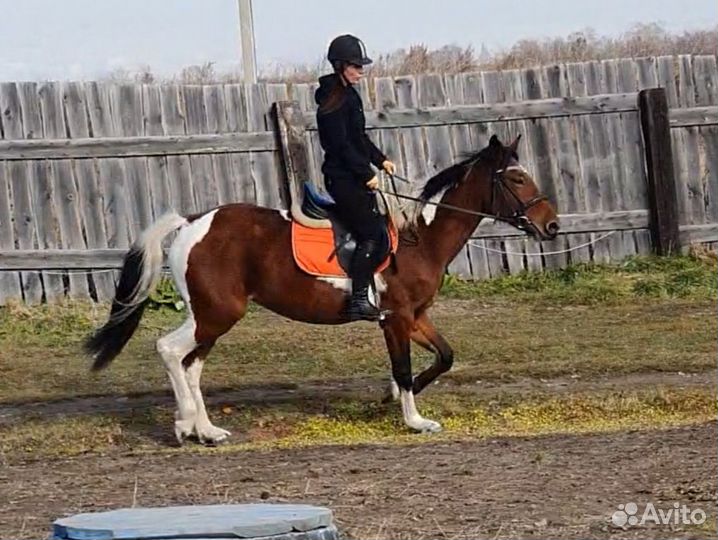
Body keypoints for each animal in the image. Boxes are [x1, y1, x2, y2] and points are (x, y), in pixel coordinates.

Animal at [85, 134, 559, 445]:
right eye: (516, 179)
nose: (552, 226)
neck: (418, 237)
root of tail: (192, 222)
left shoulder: (417, 316)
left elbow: (444, 357)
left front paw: (388, 399)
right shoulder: (395, 319)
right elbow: (405, 368)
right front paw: (413, 420)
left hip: (210, 317)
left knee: (191, 366)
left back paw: (207, 430)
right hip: (216, 314)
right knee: (169, 351)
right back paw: (185, 424)